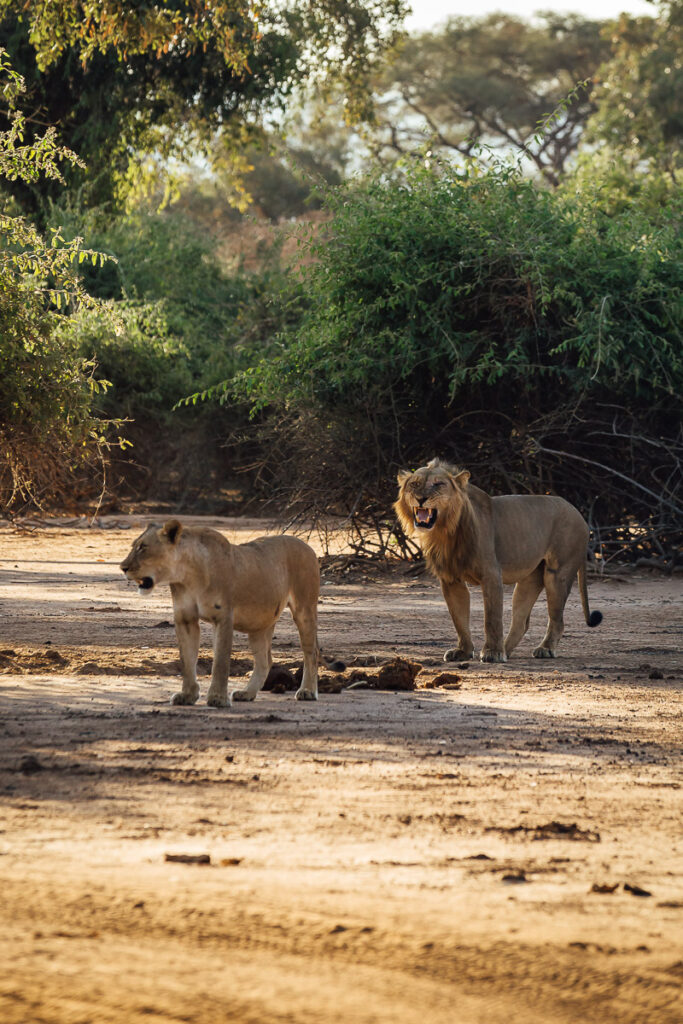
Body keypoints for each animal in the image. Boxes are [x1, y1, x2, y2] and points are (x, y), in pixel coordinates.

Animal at [120, 520, 343, 706]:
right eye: (133, 546)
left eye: (143, 547)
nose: (122, 567)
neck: (187, 575)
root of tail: (307, 546)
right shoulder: (185, 619)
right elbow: (187, 660)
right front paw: (188, 696)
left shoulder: (224, 617)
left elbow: (220, 662)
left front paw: (218, 698)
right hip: (259, 623)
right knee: (265, 660)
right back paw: (247, 693)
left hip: (304, 609)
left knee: (311, 653)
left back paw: (307, 691)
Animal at [394, 459, 602, 662]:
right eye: (415, 484)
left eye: (438, 484)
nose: (421, 498)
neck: (445, 532)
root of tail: (579, 514)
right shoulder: (450, 580)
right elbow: (459, 619)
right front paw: (463, 651)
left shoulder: (491, 574)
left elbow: (492, 618)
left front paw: (492, 653)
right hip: (530, 578)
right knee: (521, 621)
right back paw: (507, 651)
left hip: (557, 574)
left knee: (557, 620)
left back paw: (544, 649)